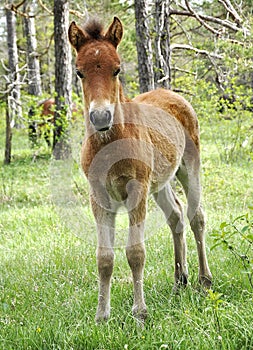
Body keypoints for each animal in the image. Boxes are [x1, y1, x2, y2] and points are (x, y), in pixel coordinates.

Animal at [68, 17, 211, 322]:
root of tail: (173, 94)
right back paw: (180, 281)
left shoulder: (137, 189)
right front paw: (101, 316)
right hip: (160, 182)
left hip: (189, 168)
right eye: (79, 72)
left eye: (117, 69)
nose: (100, 117)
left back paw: (204, 281)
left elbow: (135, 252)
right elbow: (104, 257)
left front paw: (140, 313)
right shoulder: (98, 196)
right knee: (175, 215)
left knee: (196, 217)